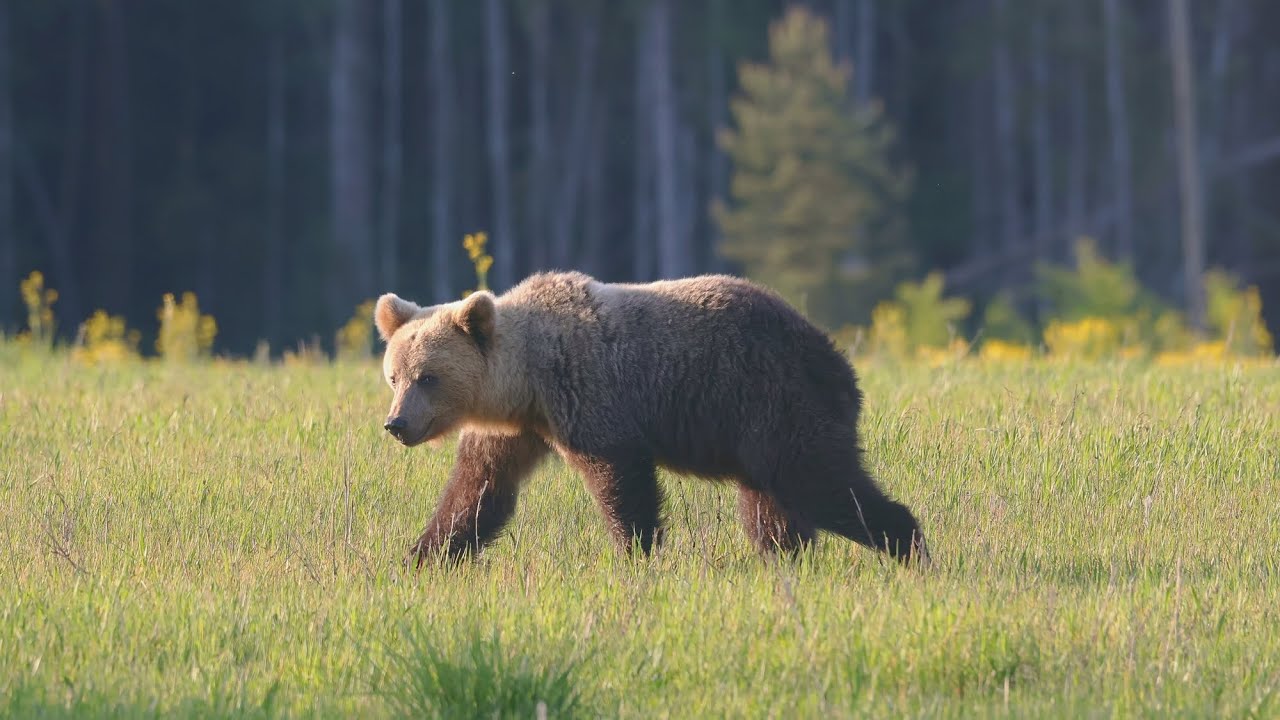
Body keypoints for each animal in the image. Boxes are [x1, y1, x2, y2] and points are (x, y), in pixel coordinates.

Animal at [374, 271, 927, 566]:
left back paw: (909, 545)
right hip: (757, 431)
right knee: (772, 508)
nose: (397, 424)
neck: (528, 381)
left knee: (820, 483)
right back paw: (786, 558)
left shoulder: (592, 401)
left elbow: (623, 484)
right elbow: (478, 492)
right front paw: (422, 558)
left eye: (428, 377)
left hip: (774, 402)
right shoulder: (516, 430)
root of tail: (834, 358)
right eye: (394, 376)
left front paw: (638, 553)